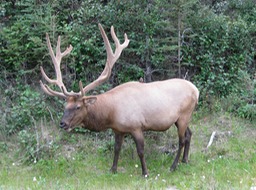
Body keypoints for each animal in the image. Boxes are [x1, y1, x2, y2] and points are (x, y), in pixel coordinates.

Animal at [40, 23, 200, 177]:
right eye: (65, 106)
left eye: (78, 106)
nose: (62, 123)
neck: (111, 113)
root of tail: (196, 90)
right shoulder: (118, 129)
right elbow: (116, 149)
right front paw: (113, 169)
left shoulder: (136, 126)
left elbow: (140, 151)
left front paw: (145, 172)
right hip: (180, 118)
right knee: (189, 134)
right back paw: (185, 160)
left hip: (184, 115)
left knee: (181, 140)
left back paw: (173, 166)